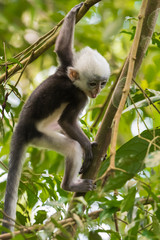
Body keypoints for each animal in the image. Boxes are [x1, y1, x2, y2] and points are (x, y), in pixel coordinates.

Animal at [2, 1, 110, 231]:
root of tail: (20, 129)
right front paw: (88, 149)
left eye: (102, 84)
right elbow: (67, 121)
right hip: (38, 136)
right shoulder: (78, 97)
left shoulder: (67, 64)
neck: (70, 79)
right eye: (93, 84)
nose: (96, 93)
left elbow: (61, 48)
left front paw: (73, 12)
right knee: (70, 145)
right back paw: (69, 184)